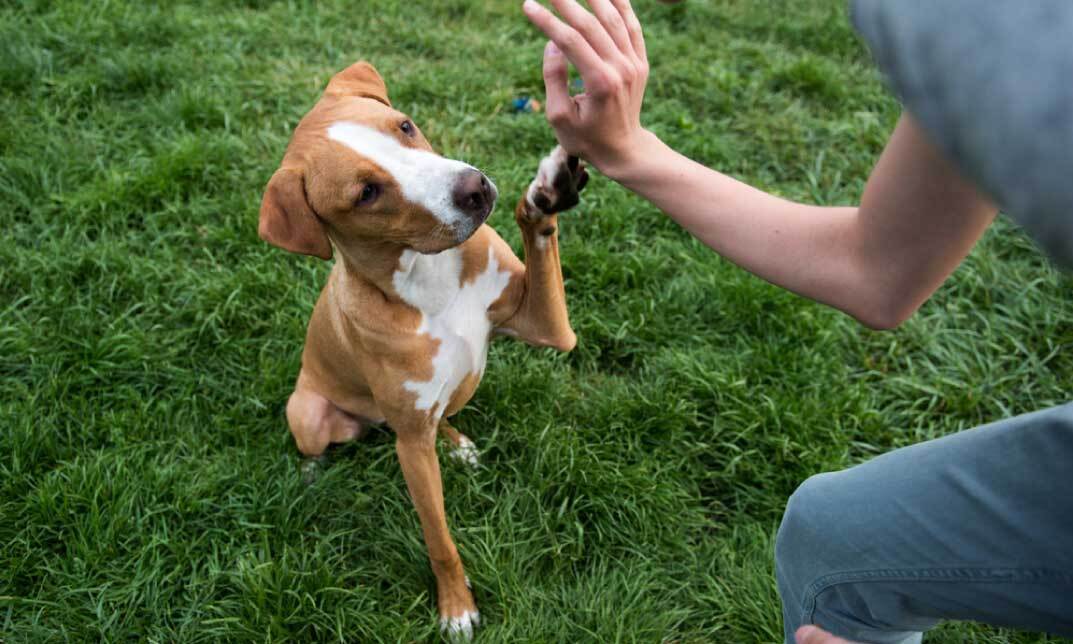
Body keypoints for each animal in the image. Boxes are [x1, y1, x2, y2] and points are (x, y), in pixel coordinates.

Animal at [258, 62, 588, 635]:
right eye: (366, 192)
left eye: (405, 126)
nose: (474, 190)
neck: (428, 275)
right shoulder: (411, 449)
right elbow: (439, 540)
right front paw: (456, 607)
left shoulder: (550, 328)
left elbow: (540, 240)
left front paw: (548, 191)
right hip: (309, 411)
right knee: (317, 441)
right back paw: (311, 474)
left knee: (443, 415)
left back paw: (457, 443)